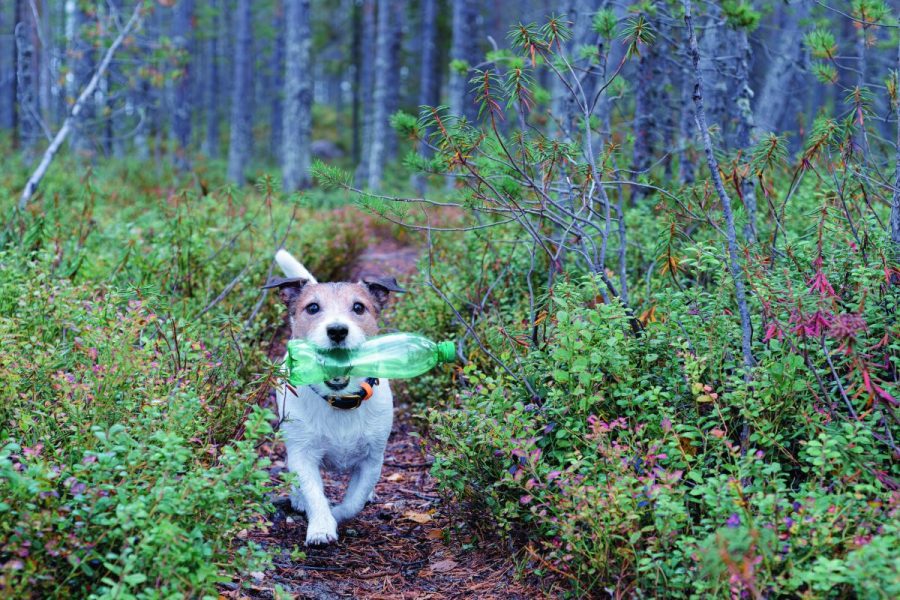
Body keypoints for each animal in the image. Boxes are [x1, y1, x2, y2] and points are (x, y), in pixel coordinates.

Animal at [264, 247, 404, 544]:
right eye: (313, 308)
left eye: (359, 307)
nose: (337, 330)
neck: (341, 401)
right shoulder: (303, 455)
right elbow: (313, 492)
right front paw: (321, 525)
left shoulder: (372, 459)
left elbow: (355, 500)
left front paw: (337, 514)